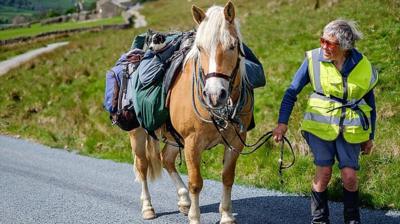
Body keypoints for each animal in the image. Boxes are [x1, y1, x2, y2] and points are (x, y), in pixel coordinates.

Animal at [129, 2, 253, 224]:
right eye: (200, 48)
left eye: (232, 45)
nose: (215, 95)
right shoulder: (192, 143)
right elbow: (196, 182)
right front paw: (195, 217)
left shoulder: (236, 142)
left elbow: (227, 177)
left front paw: (226, 215)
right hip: (139, 134)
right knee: (142, 166)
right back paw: (148, 207)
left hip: (173, 137)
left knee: (166, 159)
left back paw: (184, 200)